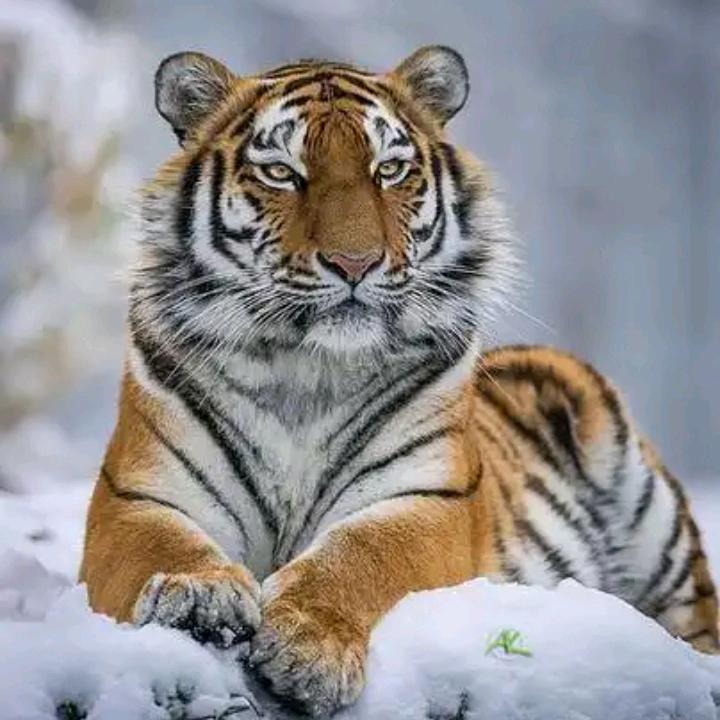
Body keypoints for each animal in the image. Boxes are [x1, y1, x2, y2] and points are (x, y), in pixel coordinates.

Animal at [80, 45, 719, 717]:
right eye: (281, 172)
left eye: (389, 170)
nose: (355, 264)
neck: (306, 369)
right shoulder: (139, 495)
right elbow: (163, 545)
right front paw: (197, 597)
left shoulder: (425, 498)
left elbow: (358, 555)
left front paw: (308, 648)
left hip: (658, 533)